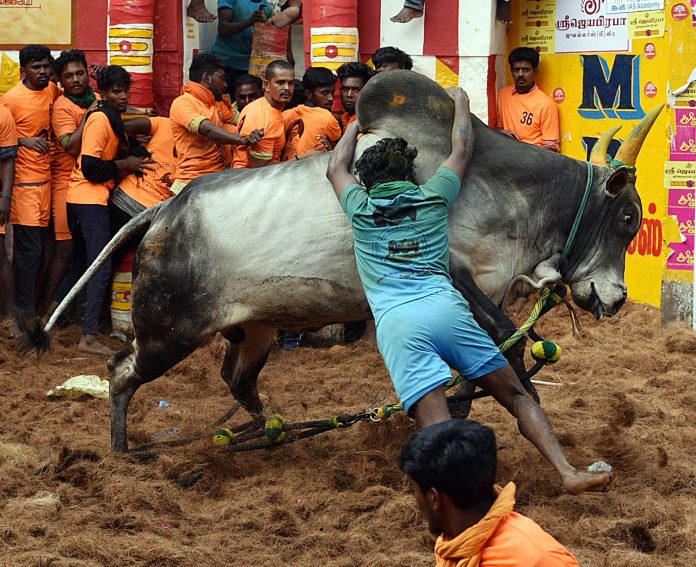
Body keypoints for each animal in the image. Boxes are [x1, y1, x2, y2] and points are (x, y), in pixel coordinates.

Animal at [39, 71, 664, 452]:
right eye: (628, 217)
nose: (615, 299)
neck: (508, 187)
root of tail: (165, 210)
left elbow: (485, 375)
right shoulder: (461, 281)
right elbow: (512, 365)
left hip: (255, 329)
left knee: (235, 380)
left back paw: (266, 431)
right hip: (168, 329)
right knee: (121, 371)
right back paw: (124, 455)